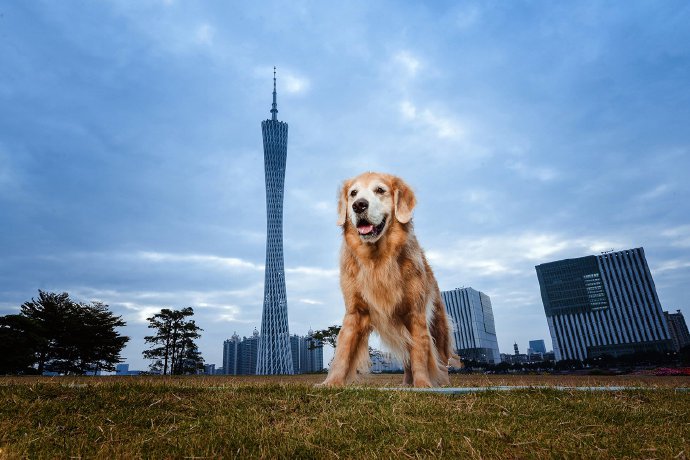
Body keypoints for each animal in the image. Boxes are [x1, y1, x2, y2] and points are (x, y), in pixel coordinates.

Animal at [318, 171, 460, 386]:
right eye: (353, 193)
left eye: (380, 190)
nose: (359, 205)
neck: (377, 260)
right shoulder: (354, 312)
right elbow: (343, 350)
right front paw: (331, 383)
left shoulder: (415, 314)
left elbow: (420, 354)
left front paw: (423, 385)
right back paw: (406, 384)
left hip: (438, 326)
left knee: (440, 359)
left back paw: (440, 383)